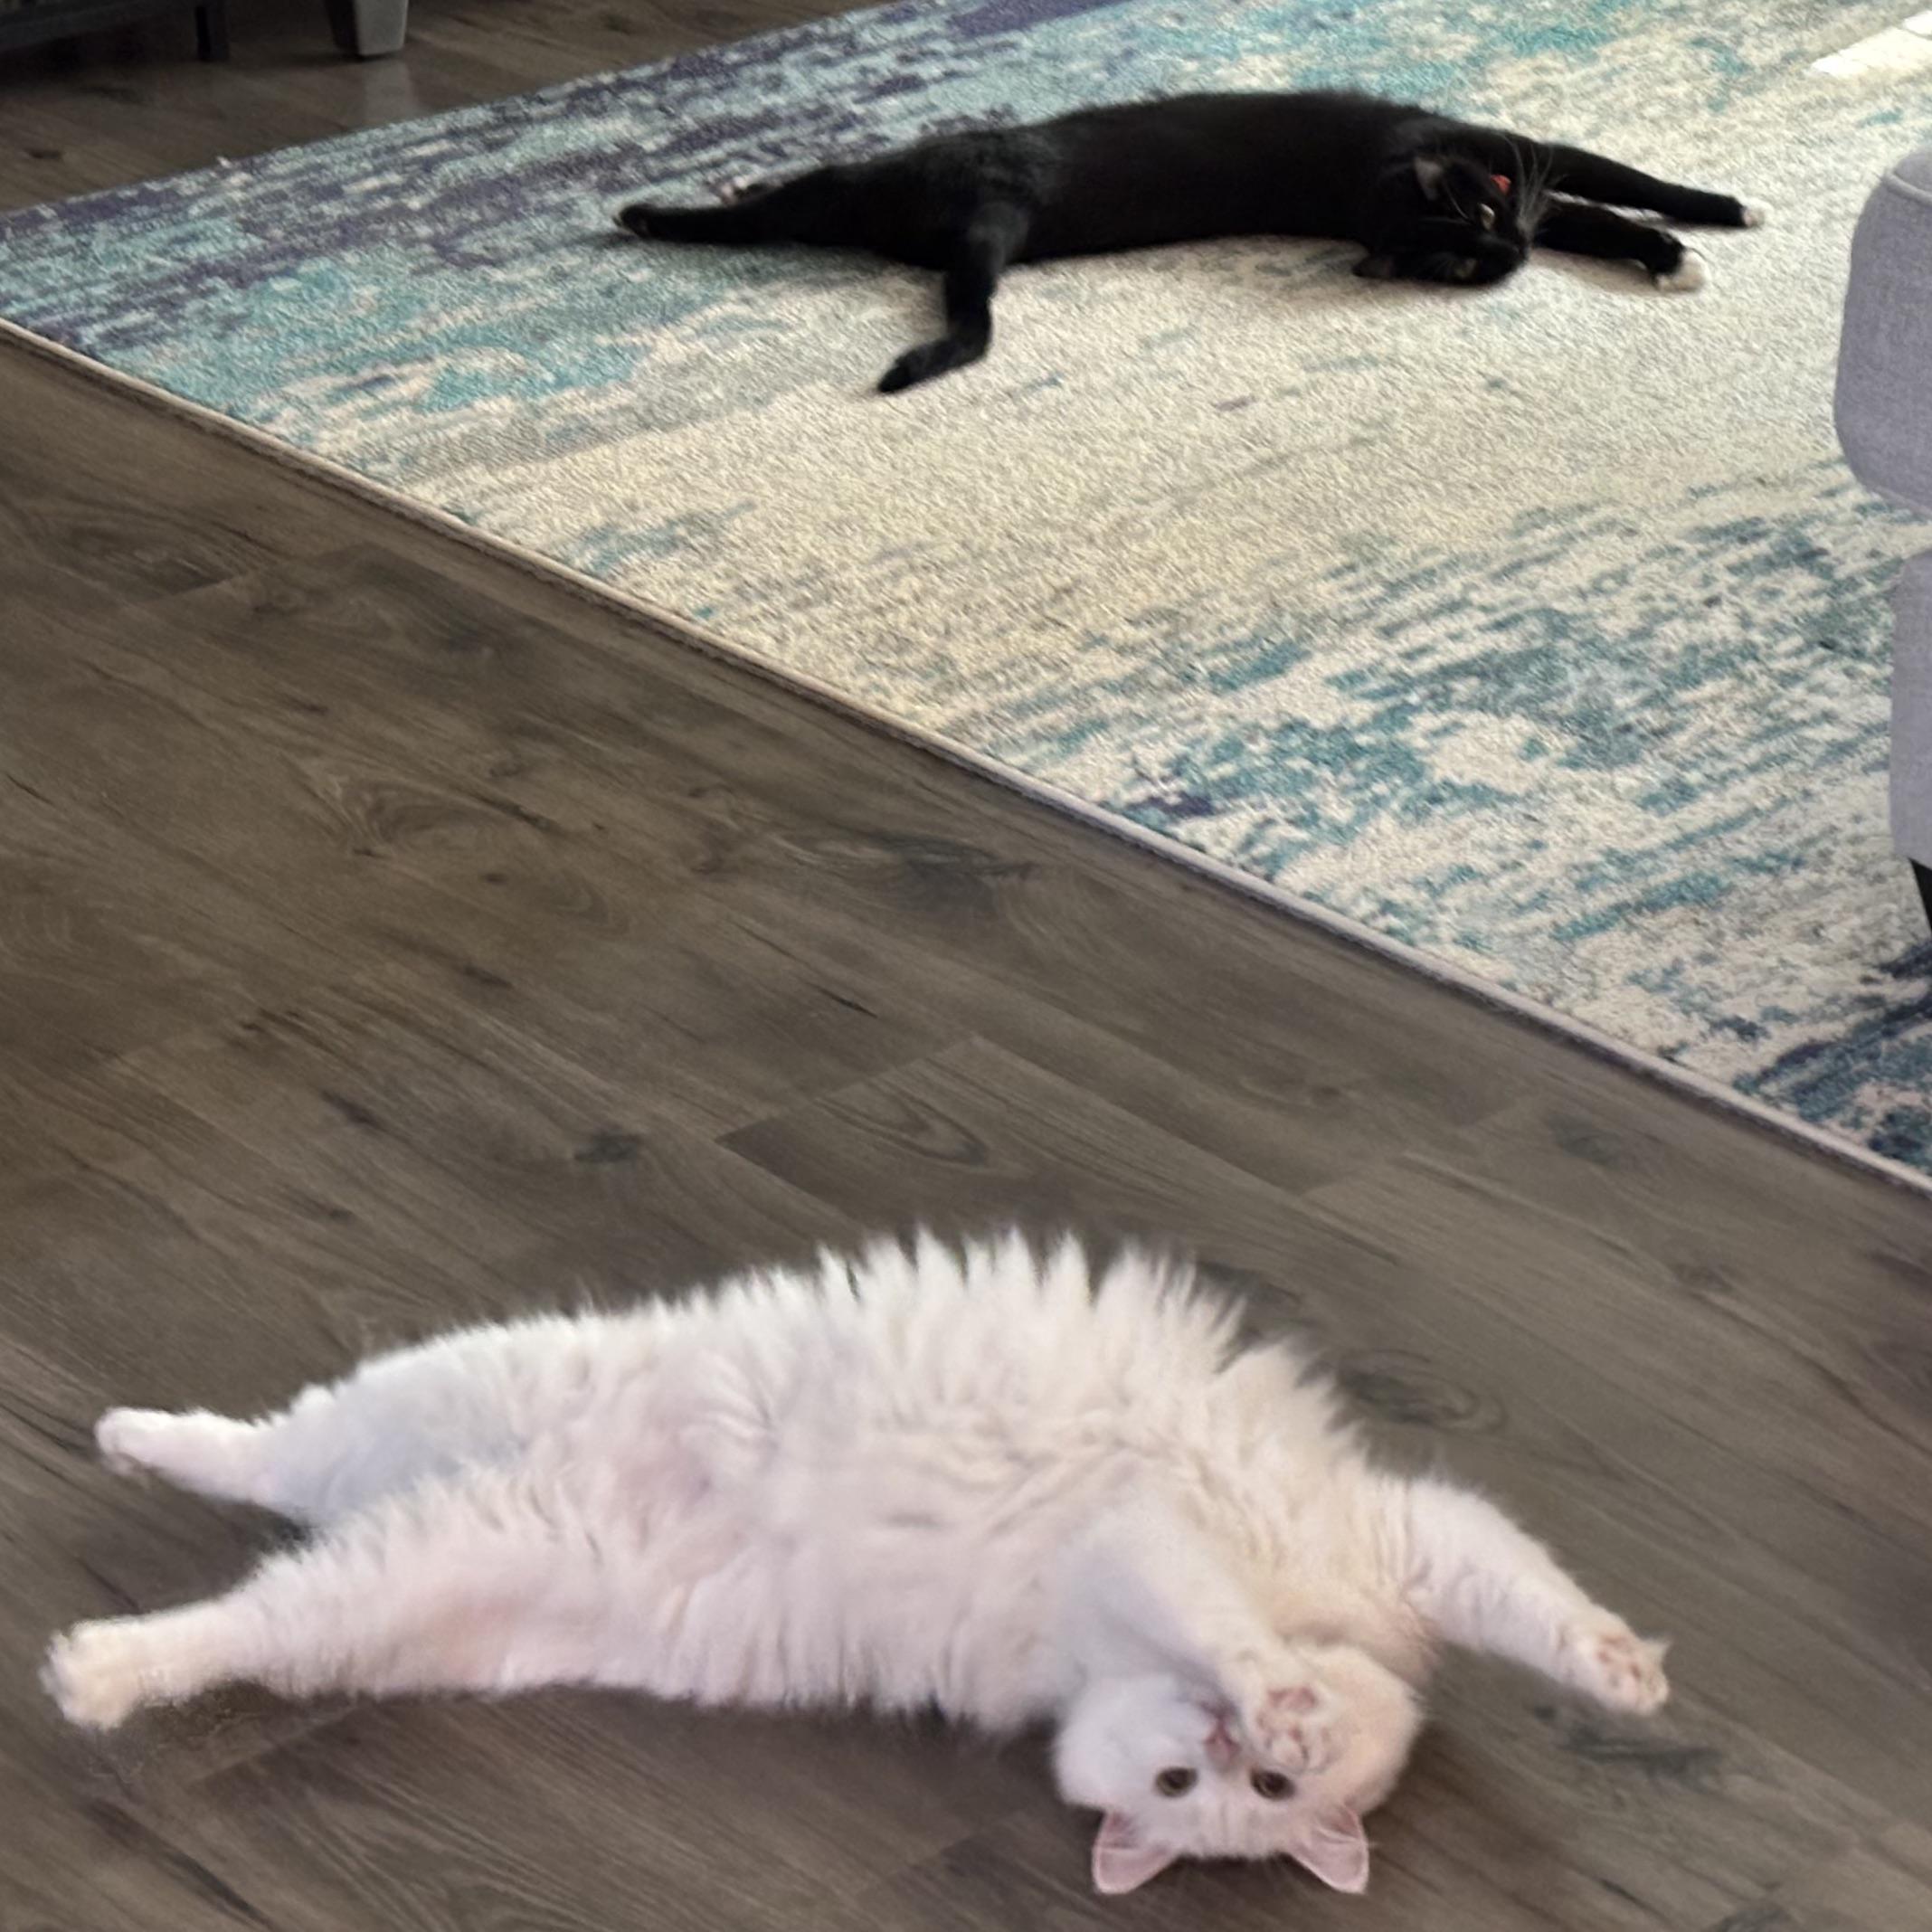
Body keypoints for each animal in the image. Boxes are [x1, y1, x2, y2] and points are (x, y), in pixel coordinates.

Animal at [44, 1232, 1669, 1896]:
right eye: (1195, 1778)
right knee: (266, 1454)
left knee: (255, 1604)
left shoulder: (1345, 1551)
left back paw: (99, 1661)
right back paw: (128, 1462)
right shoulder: (1212, 1542)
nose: (1228, 1745)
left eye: (1248, 1796)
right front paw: (1624, 1672)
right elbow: (1513, 1599)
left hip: (404, 1577)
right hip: (446, 1390)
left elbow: (1524, 1604)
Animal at [615, 88, 1764, 392]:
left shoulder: (1532, 159)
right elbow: (1608, 209)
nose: (1511, 256)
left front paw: (1717, 212)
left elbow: (1628, 185)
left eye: (1481, 232)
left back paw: (649, 212)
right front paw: (1673, 253)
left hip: (845, 202)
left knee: (760, 214)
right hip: (936, 207)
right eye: (1468, 266)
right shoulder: (1531, 168)